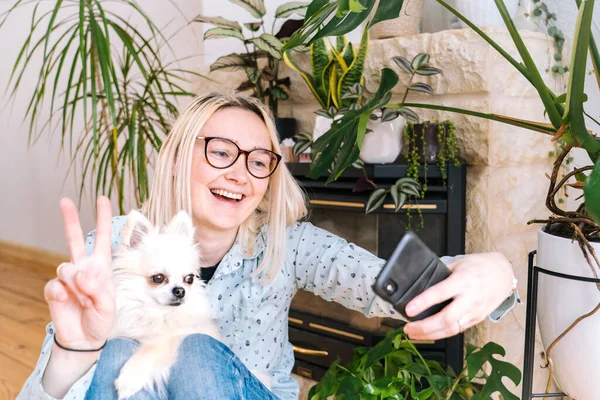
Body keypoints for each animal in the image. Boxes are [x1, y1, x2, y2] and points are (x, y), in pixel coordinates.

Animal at [109, 211, 219, 398]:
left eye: (189, 279)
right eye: (158, 278)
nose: (180, 290)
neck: (156, 314)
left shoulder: (170, 339)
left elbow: (149, 351)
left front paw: (128, 380)